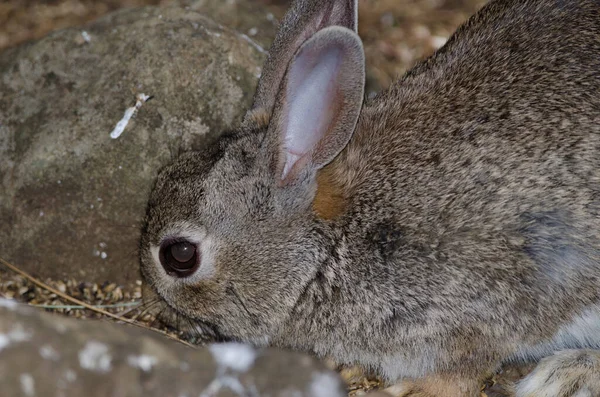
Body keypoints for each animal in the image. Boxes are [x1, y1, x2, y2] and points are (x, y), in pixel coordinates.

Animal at [139, 0, 600, 396]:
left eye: (179, 255)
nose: (154, 304)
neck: (328, 247)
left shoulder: (486, 305)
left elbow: (465, 370)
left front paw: (411, 388)